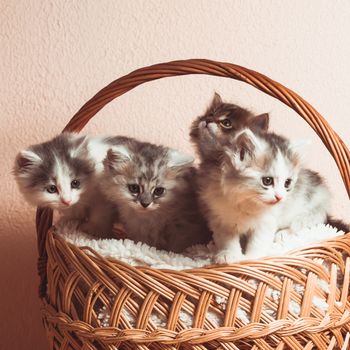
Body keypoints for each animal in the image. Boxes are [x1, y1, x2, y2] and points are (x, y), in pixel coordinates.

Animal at [201, 129, 332, 262]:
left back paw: (282, 234)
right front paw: (228, 254)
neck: (245, 200)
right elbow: (227, 239)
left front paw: (252, 258)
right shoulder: (219, 214)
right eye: (267, 181)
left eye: (287, 183)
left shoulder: (267, 220)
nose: (280, 197)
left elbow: (258, 241)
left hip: (312, 207)